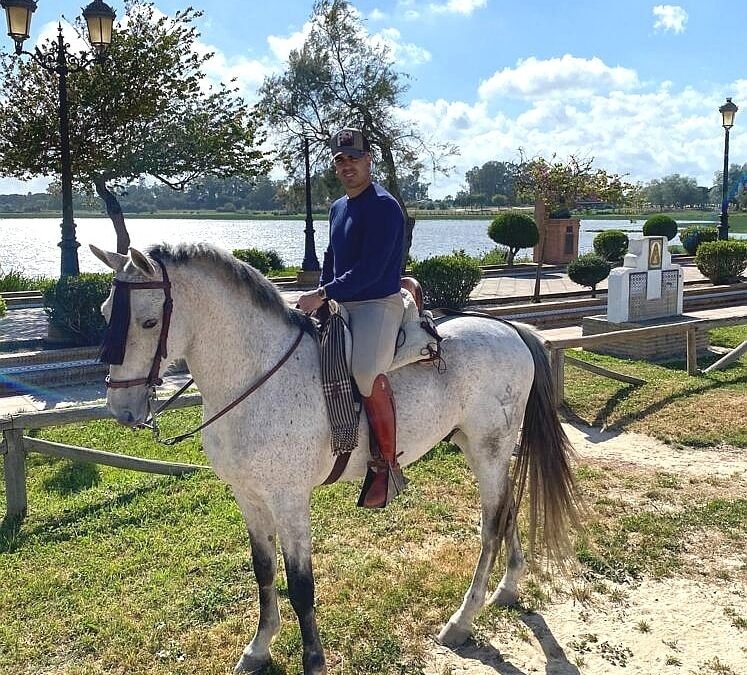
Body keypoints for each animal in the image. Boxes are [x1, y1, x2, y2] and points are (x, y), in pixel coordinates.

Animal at [91, 241, 580, 675]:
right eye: (104, 314)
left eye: (148, 322)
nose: (122, 409)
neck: (257, 376)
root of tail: (508, 328)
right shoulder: (248, 497)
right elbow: (263, 571)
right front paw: (258, 648)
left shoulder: (289, 501)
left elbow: (301, 586)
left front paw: (312, 661)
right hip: (476, 448)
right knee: (507, 508)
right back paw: (508, 587)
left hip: (488, 449)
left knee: (492, 523)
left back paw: (462, 619)